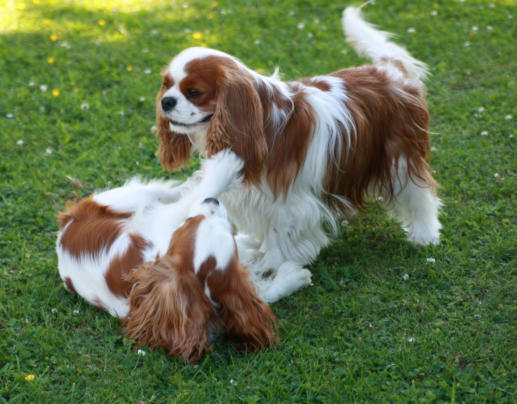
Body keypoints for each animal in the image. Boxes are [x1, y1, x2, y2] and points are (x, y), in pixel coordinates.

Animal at [56, 150, 280, 361]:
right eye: (190, 221)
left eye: (231, 231)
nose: (213, 202)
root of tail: (65, 226)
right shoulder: (166, 220)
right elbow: (198, 193)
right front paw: (227, 166)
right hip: (122, 199)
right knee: (164, 192)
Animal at [154, 6, 442, 301]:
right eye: (167, 85)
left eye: (194, 92)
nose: (167, 101)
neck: (261, 122)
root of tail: (389, 72)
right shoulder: (256, 196)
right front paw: (258, 250)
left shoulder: (287, 201)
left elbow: (279, 235)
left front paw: (272, 264)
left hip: (400, 158)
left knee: (420, 196)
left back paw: (424, 234)